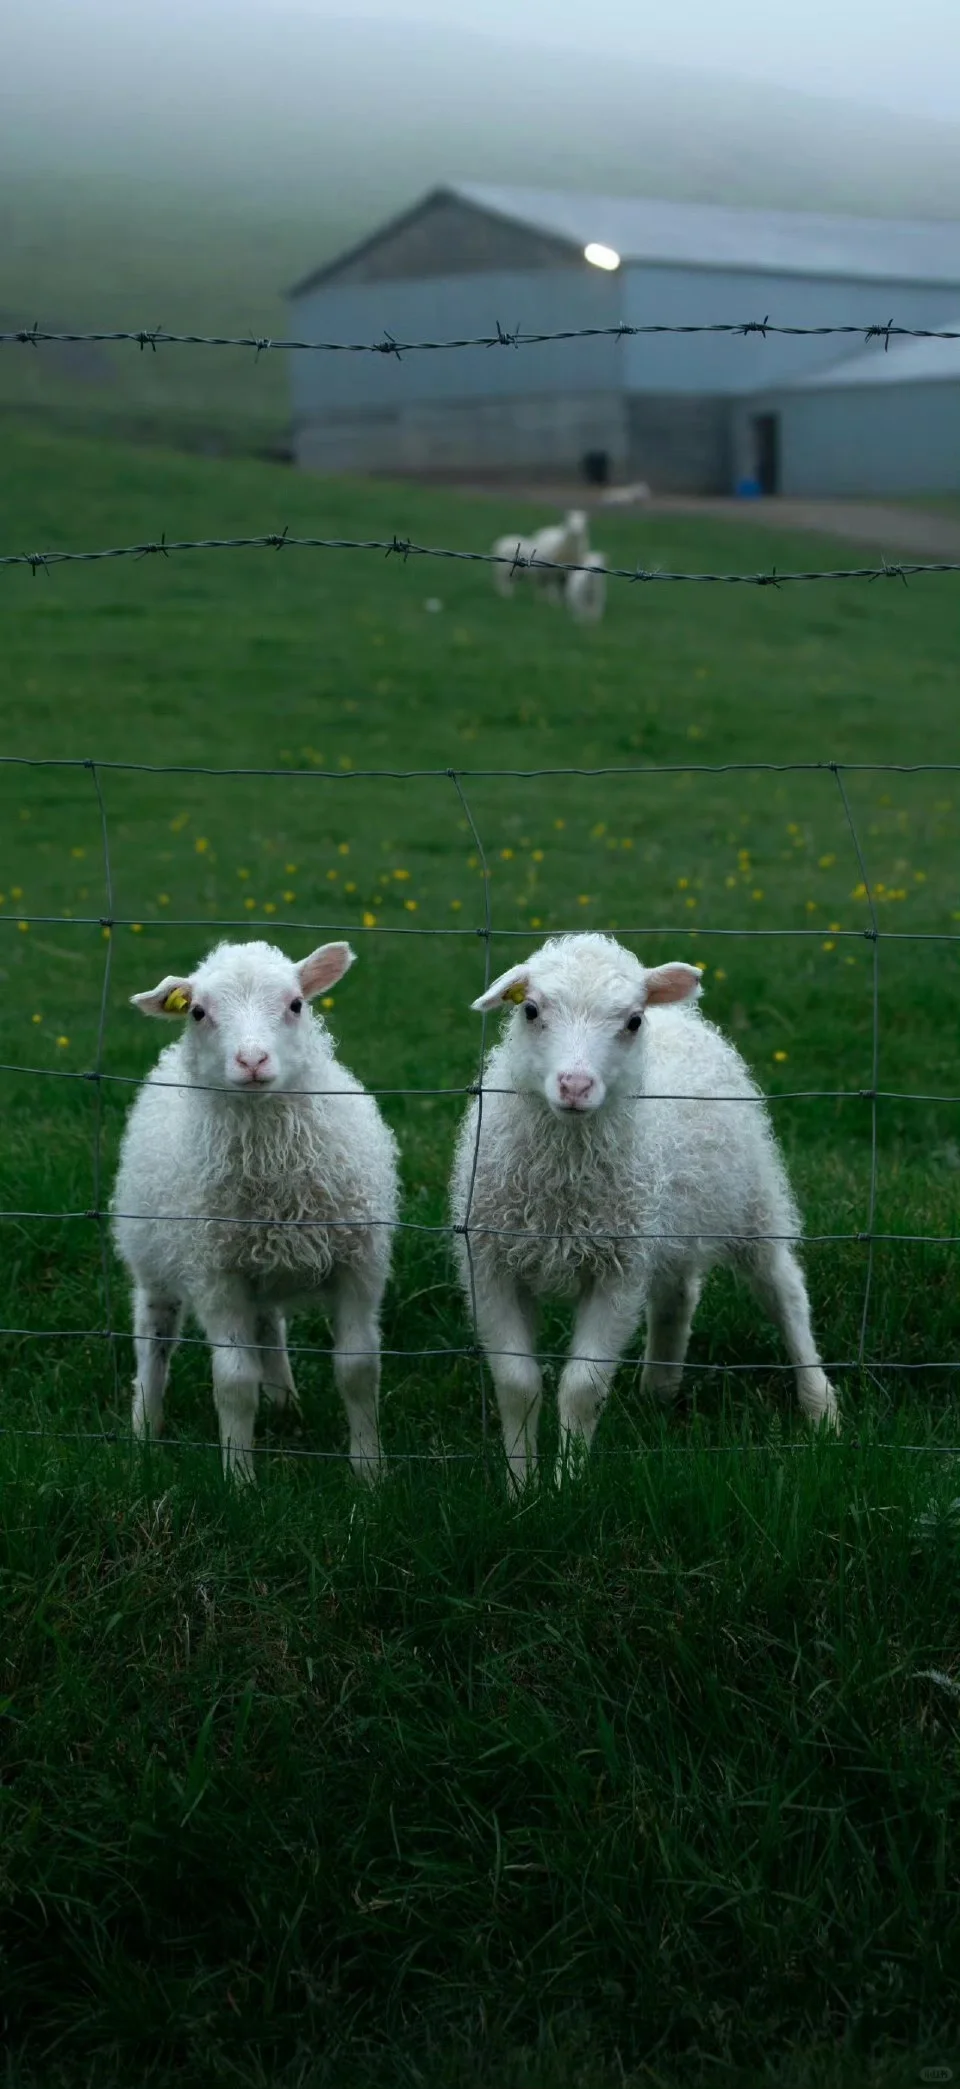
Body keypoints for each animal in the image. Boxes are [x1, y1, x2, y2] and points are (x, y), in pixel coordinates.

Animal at [112, 940, 396, 1479]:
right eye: (198, 1012)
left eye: (296, 1004)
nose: (252, 1060)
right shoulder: (216, 1276)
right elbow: (234, 1382)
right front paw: (239, 1477)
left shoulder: (359, 1265)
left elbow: (357, 1369)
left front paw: (369, 1471)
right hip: (155, 1260)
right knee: (152, 1341)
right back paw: (143, 1432)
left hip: (260, 1270)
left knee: (269, 1328)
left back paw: (285, 1402)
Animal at [450, 931, 830, 1487]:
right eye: (531, 1010)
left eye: (631, 1021)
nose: (575, 1086)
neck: (562, 1188)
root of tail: (683, 1017)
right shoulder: (491, 1261)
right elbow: (517, 1383)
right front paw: (521, 1486)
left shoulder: (617, 1268)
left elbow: (582, 1386)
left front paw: (567, 1486)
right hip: (668, 1218)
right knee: (678, 1296)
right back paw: (659, 1388)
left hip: (752, 1202)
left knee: (784, 1291)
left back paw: (820, 1405)